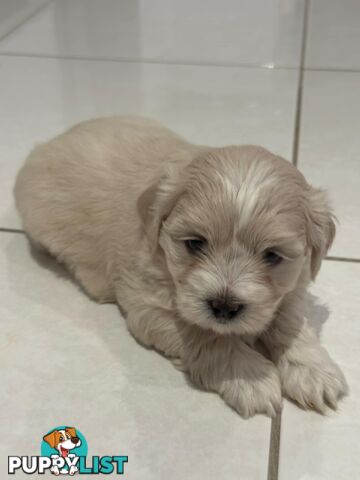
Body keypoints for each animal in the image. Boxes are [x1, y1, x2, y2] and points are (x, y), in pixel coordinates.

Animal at [15, 115, 348, 416]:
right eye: (194, 243)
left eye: (273, 256)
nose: (224, 307)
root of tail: (47, 143)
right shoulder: (146, 302)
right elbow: (205, 335)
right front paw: (250, 377)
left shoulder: (294, 283)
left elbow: (290, 321)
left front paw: (313, 372)